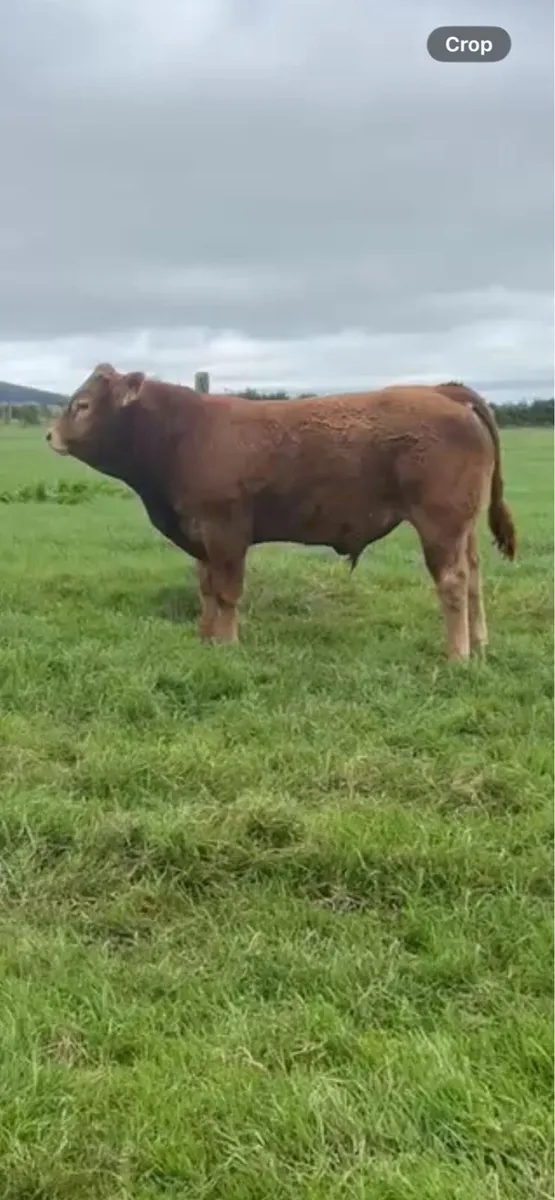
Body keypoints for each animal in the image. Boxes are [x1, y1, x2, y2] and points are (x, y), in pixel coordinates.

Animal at [46, 366, 516, 661]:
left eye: (83, 405)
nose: (50, 434)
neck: (183, 434)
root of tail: (442, 391)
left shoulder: (225, 531)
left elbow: (227, 592)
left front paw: (227, 644)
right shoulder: (200, 536)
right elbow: (206, 588)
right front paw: (205, 638)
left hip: (439, 524)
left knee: (452, 582)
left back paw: (456, 655)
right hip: (463, 527)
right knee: (473, 576)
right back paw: (479, 643)